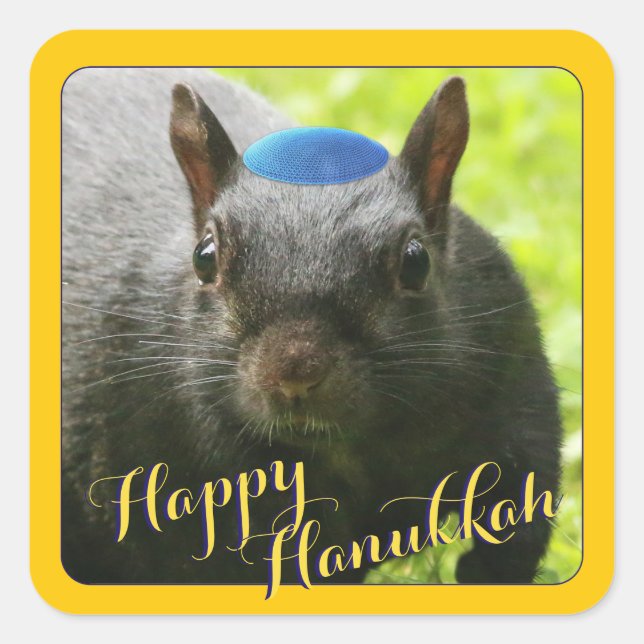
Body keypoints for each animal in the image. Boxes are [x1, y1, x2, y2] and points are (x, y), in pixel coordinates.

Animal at [61, 68, 562, 585]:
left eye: (415, 261)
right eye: (204, 257)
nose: (294, 375)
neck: (342, 448)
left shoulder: (511, 371)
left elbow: (525, 497)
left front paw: (486, 566)